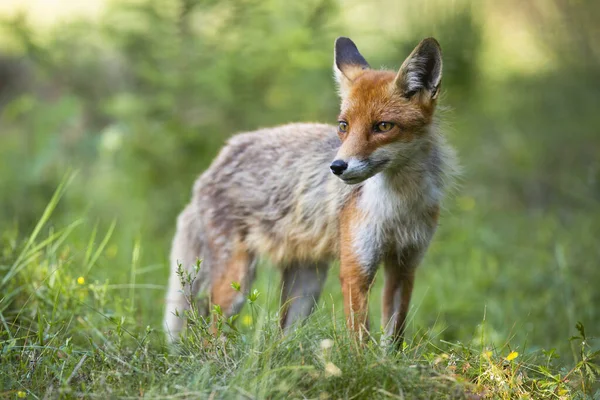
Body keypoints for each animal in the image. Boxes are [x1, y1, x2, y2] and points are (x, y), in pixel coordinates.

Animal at [162, 36, 458, 344]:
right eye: (343, 125)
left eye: (383, 126)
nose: (337, 167)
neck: (398, 206)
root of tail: (217, 162)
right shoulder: (355, 270)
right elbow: (360, 341)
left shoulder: (404, 266)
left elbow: (393, 337)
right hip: (237, 285)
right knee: (209, 337)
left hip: (306, 287)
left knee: (282, 338)